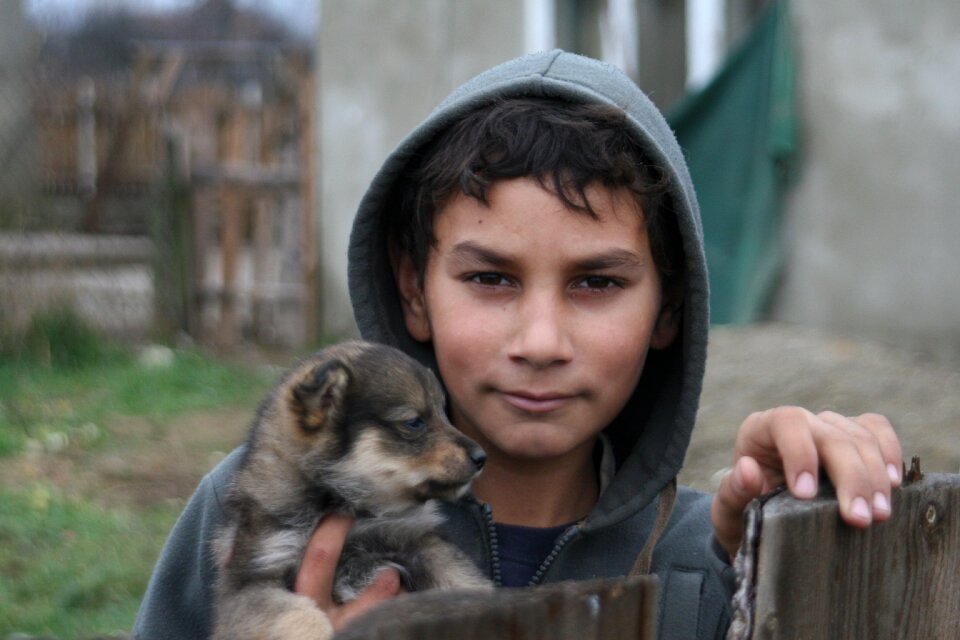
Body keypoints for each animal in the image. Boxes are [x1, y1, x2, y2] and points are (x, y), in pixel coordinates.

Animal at [214, 342, 492, 636]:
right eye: (414, 421)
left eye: (444, 413)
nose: (481, 457)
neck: (345, 503)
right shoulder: (251, 581)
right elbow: (300, 616)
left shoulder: (423, 544)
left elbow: (467, 584)